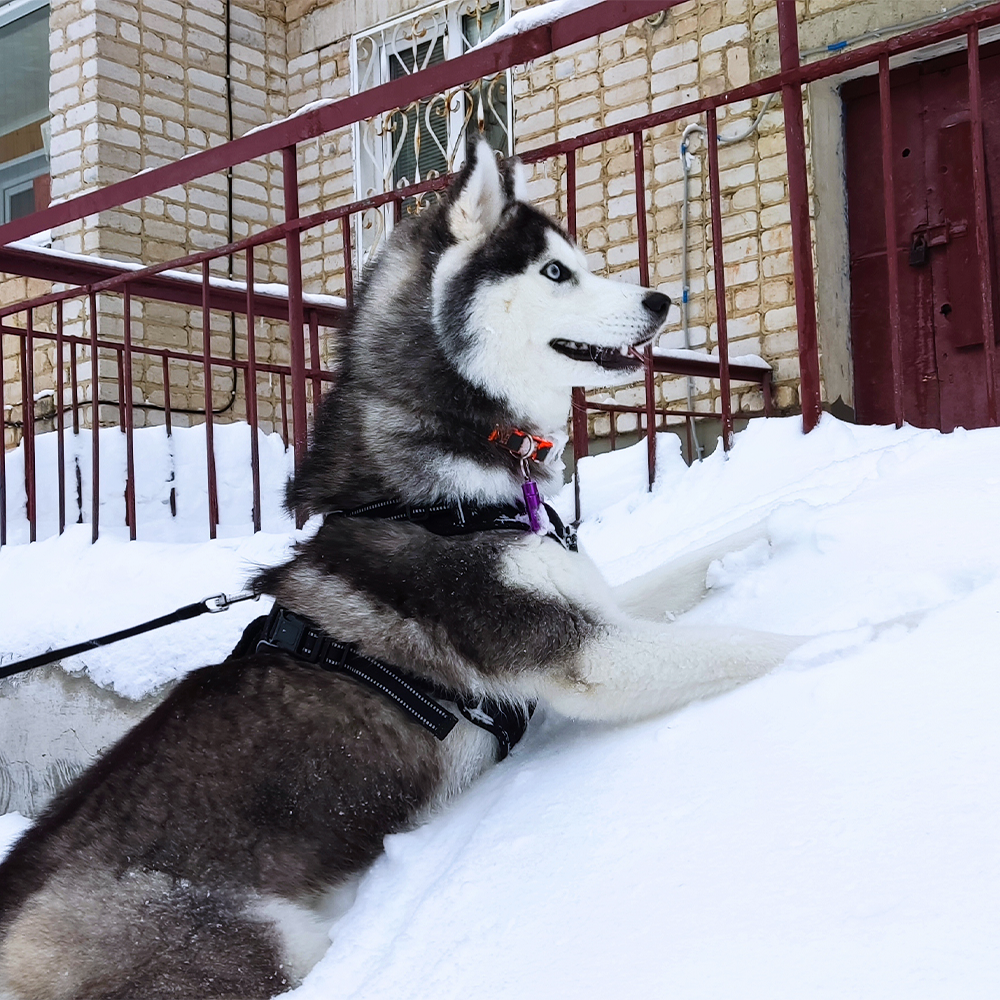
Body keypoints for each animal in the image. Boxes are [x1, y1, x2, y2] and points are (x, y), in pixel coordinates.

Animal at [0, 141, 796, 1000]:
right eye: (555, 272)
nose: (657, 301)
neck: (445, 494)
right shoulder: (586, 653)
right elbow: (755, 646)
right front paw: (845, 635)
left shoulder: (592, 611)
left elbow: (701, 562)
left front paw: (807, 506)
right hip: (267, 942)